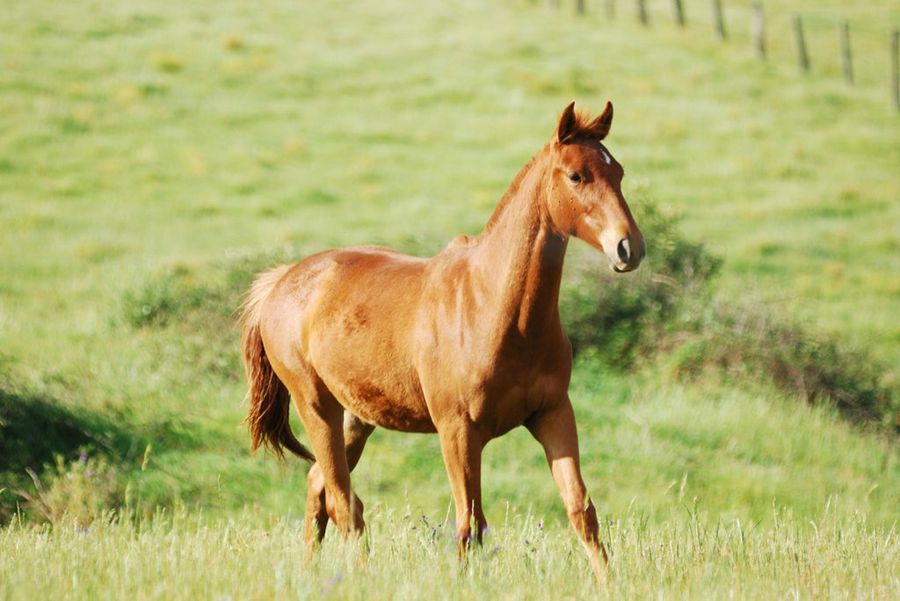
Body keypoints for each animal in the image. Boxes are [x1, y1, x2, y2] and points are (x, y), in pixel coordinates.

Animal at [240, 100, 644, 580]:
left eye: (618, 172)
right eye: (577, 176)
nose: (629, 248)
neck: (496, 312)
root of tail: (281, 281)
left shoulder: (553, 414)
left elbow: (581, 510)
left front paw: (610, 583)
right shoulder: (458, 431)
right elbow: (470, 521)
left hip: (356, 418)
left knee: (321, 488)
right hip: (317, 407)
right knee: (342, 500)